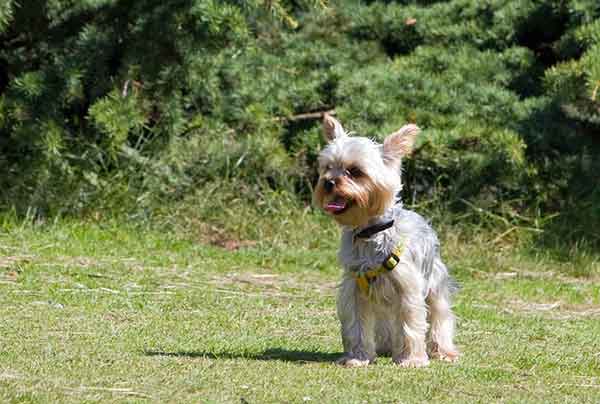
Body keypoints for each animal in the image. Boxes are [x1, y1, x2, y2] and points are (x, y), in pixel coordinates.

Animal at [314, 114, 460, 370]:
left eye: (354, 171)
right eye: (327, 168)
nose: (328, 183)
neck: (369, 232)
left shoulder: (407, 287)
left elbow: (411, 324)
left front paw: (411, 360)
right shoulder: (354, 287)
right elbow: (355, 326)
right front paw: (357, 357)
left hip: (435, 283)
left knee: (439, 316)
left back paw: (443, 351)